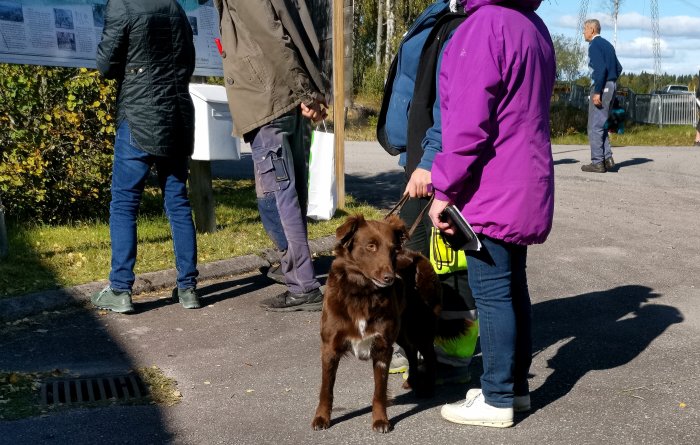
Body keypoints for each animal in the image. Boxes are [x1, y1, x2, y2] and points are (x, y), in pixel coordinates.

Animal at [314, 214, 440, 430]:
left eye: (393, 249)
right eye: (371, 246)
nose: (390, 278)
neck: (362, 293)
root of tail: (419, 256)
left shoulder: (382, 347)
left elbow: (379, 391)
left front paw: (381, 420)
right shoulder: (329, 346)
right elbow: (326, 388)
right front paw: (322, 417)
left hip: (419, 327)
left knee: (429, 356)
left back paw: (429, 388)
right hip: (402, 329)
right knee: (411, 350)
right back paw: (412, 381)